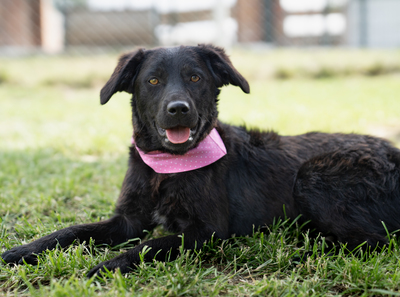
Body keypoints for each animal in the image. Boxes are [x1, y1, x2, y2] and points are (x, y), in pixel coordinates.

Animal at [3, 44, 400, 276]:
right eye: (153, 81)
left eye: (195, 78)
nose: (178, 109)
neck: (166, 168)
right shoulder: (128, 220)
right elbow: (70, 231)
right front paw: (22, 251)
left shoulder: (205, 231)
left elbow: (149, 246)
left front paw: (107, 265)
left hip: (313, 176)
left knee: (375, 242)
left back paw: (305, 246)